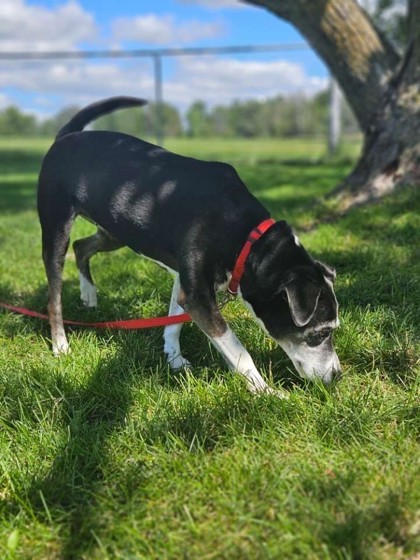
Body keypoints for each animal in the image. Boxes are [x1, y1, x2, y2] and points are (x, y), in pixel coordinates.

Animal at [37, 97, 342, 394]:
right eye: (319, 333)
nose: (337, 375)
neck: (247, 239)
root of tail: (67, 136)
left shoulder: (185, 282)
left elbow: (174, 322)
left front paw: (173, 358)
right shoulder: (199, 297)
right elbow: (238, 351)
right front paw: (265, 391)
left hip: (115, 230)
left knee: (81, 246)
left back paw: (89, 293)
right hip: (57, 227)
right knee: (54, 296)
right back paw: (60, 344)